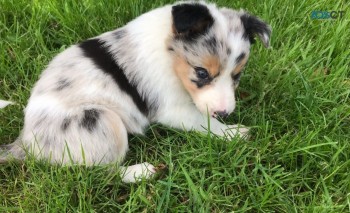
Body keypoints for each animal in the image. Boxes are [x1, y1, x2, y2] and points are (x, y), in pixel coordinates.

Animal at [0, 0, 272, 182]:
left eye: (237, 75)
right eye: (202, 73)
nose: (225, 113)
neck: (169, 51)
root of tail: (26, 143)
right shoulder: (172, 109)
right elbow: (205, 122)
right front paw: (233, 132)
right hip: (103, 121)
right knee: (103, 172)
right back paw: (139, 172)